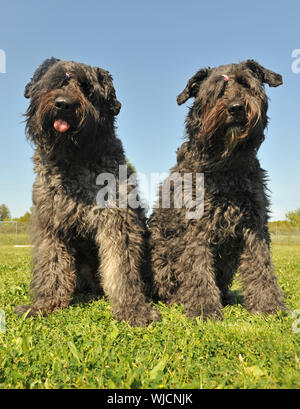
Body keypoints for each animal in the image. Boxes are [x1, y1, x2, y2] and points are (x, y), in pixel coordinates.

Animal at [150, 59, 288, 318]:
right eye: (216, 90)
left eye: (246, 83)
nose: (236, 108)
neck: (226, 165)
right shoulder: (195, 226)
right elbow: (197, 269)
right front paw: (204, 309)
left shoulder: (254, 224)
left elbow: (261, 265)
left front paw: (269, 306)